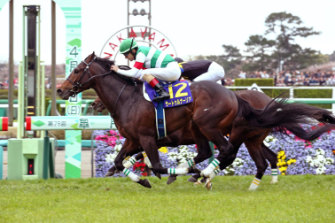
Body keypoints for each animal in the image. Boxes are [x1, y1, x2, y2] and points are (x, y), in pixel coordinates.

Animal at [57, 52, 335, 188]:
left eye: (76, 69)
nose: (60, 90)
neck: (128, 97)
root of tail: (235, 96)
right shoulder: (133, 139)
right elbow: (119, 160)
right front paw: (139, 178)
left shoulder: (148, 138)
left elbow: (158, 166)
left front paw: (177, 174)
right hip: (240, 136)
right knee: (259, 158)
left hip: (212, 126)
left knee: (227, 152)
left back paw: (204, 175)